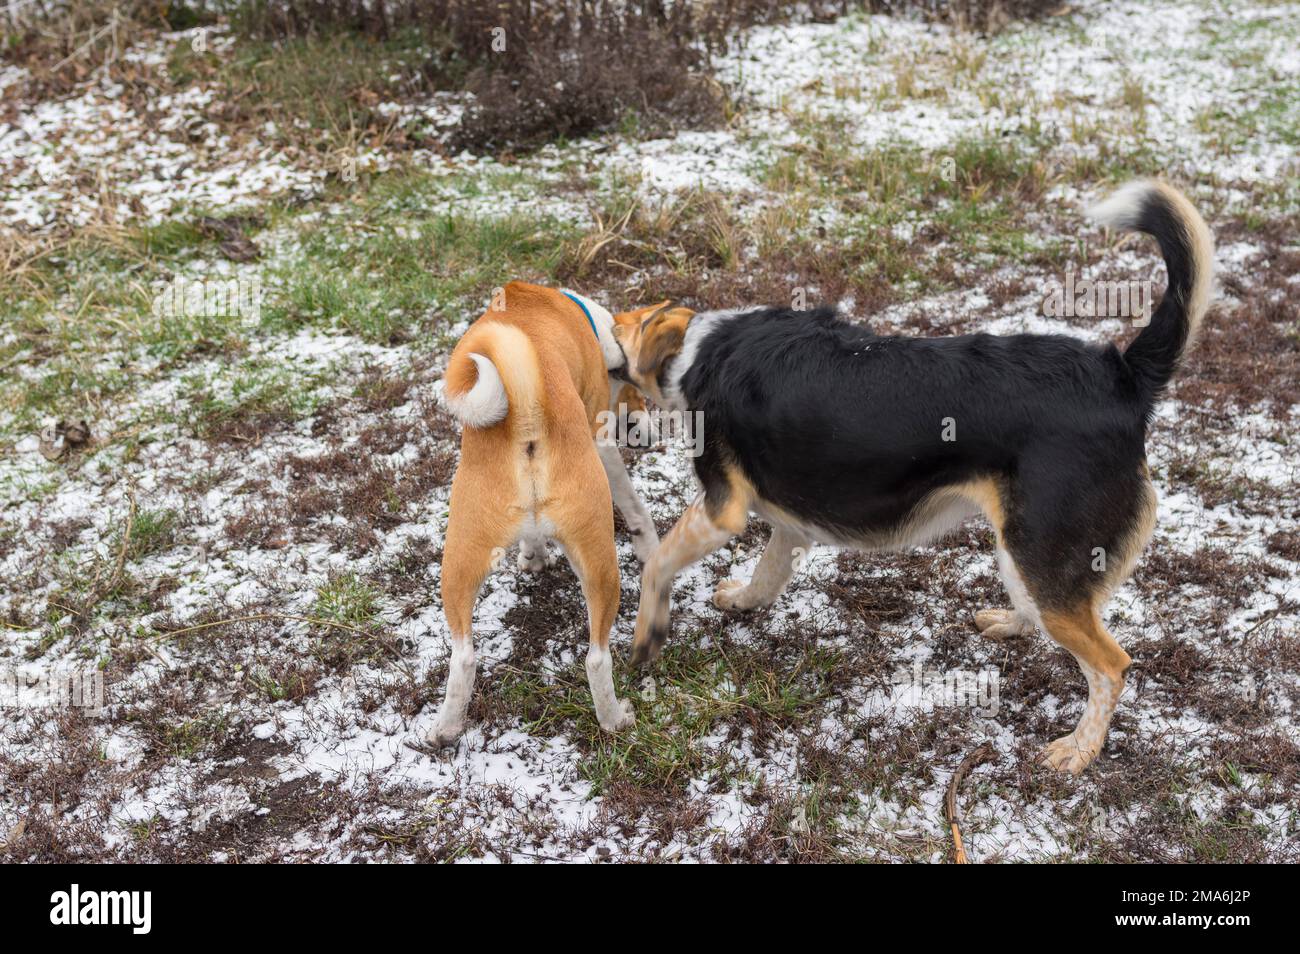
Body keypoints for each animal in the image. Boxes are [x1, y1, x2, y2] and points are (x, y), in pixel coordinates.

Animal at [434, 282, 660, 748]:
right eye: (636, 390)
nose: (652, 435)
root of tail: (525, 411)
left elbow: (533, 534)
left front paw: (533, 556)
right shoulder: (602, 441)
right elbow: (634, 506)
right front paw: (649, 543)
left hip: (459, 559)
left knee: (463, 656)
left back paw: (443, 730)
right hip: (600, 564)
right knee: (596, 658)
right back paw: (616, 719)